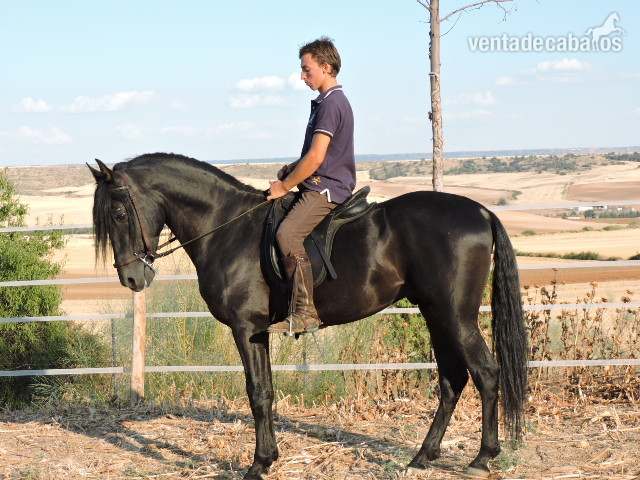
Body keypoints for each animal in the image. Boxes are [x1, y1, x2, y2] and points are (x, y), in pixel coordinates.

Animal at [89, 153, 528, 479]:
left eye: (119, 213)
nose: (131, 277)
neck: (226, 227)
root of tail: (481, 212)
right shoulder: (258, 332)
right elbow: (265, 391)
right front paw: (269, 458)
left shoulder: (246, 329)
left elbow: (257, 393)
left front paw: (258, 465)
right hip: (436, 314)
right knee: (452, 379)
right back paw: (423, 455)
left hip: (456, 316)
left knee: (486, 373)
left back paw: (482, 458)